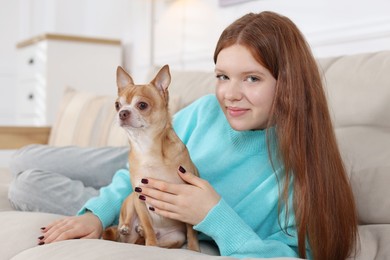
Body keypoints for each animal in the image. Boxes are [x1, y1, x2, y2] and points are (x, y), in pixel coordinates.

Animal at [102, 65, 200, 252]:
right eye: (117, 105)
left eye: (142, 105)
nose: (122, 112)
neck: (146, 147)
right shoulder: (139, 197)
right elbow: (148, 225)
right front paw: (150, 244)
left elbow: (191, 229)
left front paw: (193, 249)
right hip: (130, 200)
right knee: (129, 223)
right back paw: (129, 228)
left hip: (176, 238)